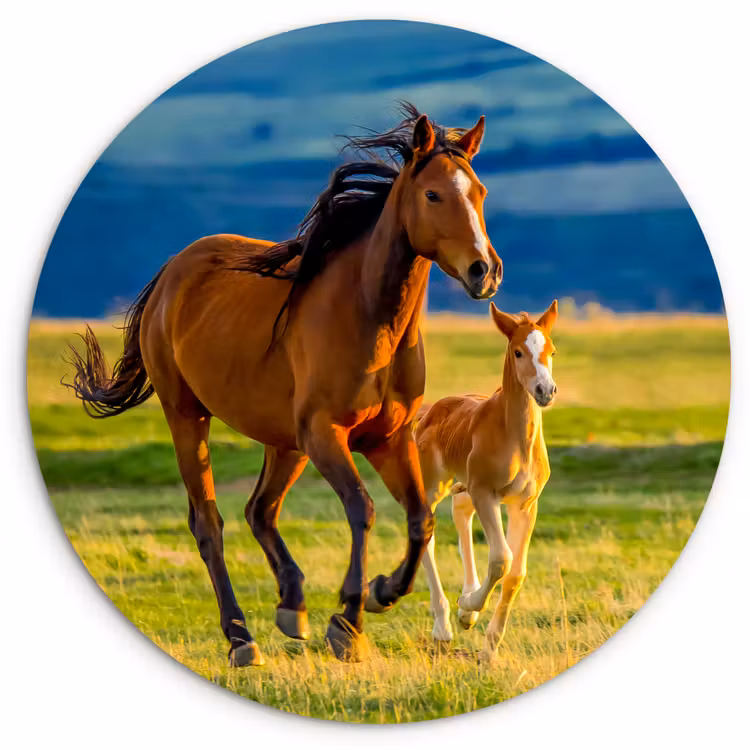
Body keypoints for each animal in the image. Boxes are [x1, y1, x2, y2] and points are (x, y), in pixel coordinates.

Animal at [65, 104, 503, 665]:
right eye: (433, 194)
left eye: (480, 192)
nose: (484, 271)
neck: (369, 319)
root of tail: (172, 272)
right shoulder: (326, 435)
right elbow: (362, 509)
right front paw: (348, 622)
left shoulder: (388, 439)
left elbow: (420, 519)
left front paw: (381, 592)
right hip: (189, 417)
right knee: (209, 523)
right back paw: (240, 637)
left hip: (284, 442)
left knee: (260, 510)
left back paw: (292, 606)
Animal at [414, 300, 558, 661]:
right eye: (518, 352)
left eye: (551, 350)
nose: (545, 391)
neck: (515, 437)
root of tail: (430, 411)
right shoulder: (485, 493)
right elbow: (501, 559)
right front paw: (468, 605)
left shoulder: (525, 504)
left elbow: (516, 572)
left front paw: (488, 649)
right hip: (434, 486)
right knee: (427, 533)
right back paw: (444, 627)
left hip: (464, 488)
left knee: (460, 515)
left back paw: (464, 612)